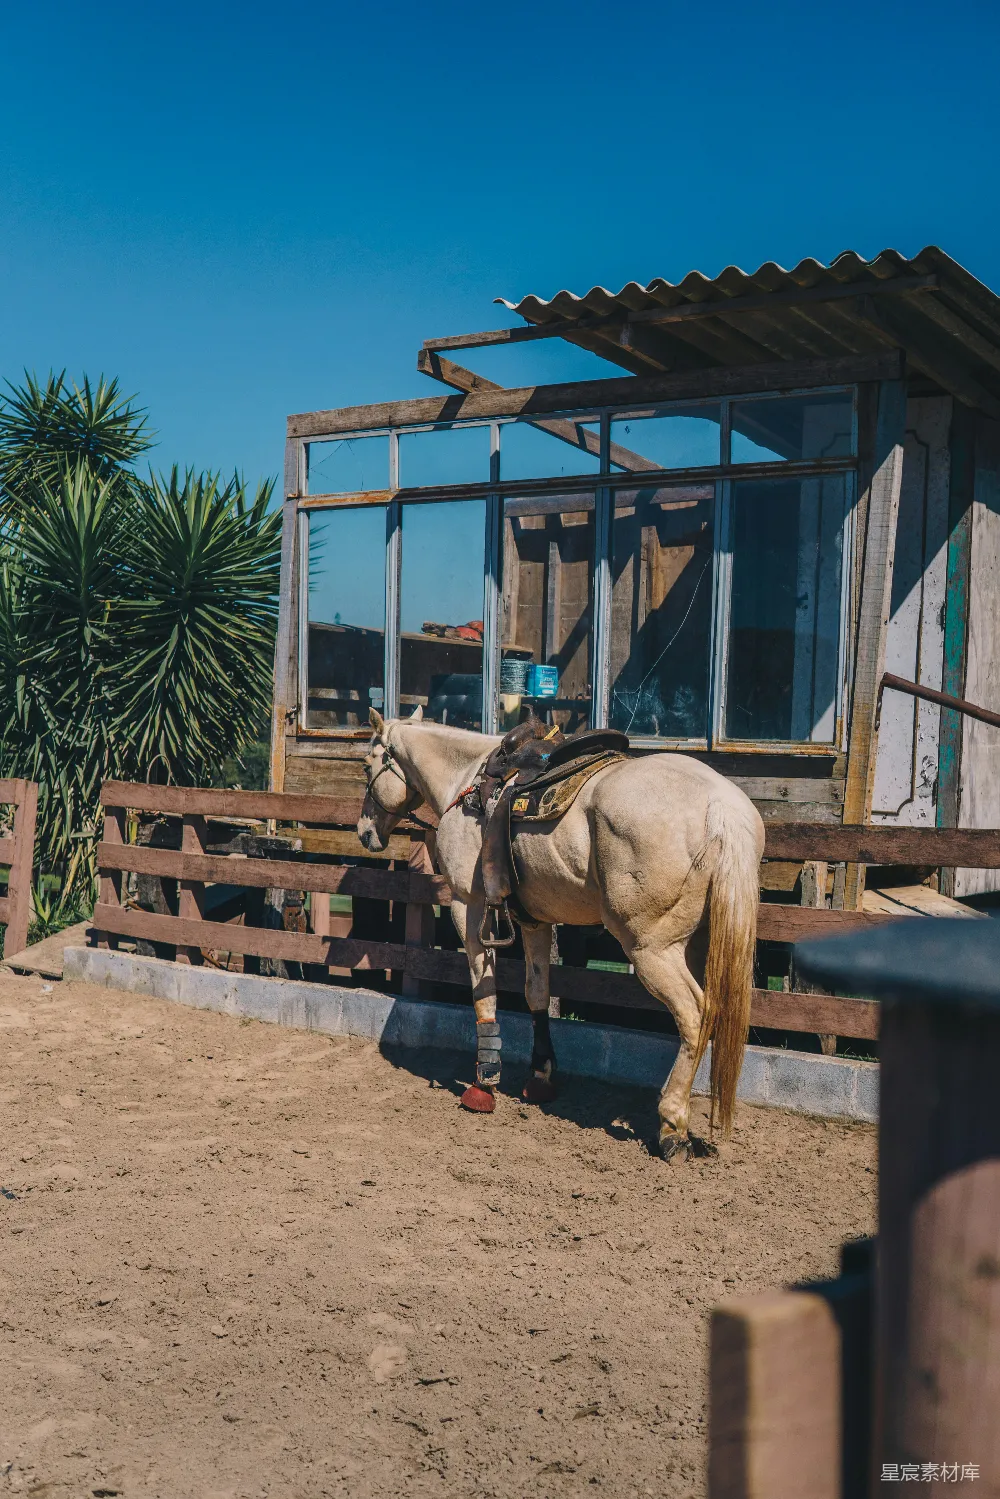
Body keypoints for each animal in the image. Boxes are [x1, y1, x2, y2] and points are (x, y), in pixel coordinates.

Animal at [358, 708, 764, 1159]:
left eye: (367, 765)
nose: (364, 832)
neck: (465, 778)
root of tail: (721, 806)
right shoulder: (536, 920)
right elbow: (537, 993)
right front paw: (540, 1076)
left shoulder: (468, 906)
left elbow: (484, 991)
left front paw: (485, 1082)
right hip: (699, 943)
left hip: (650, 949)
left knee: (694, 1015)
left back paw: (672, 1125)